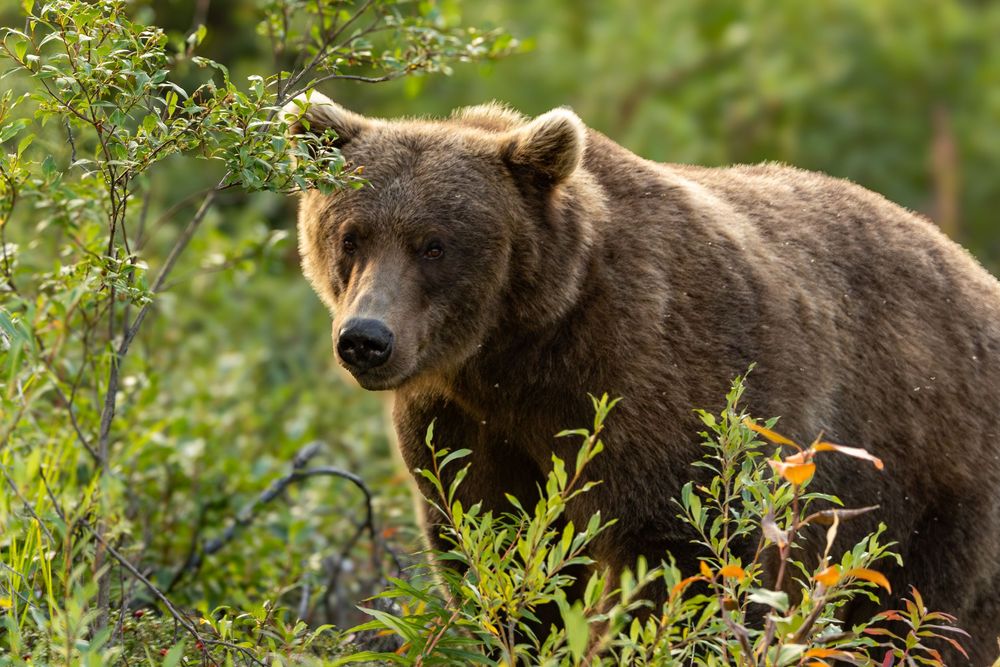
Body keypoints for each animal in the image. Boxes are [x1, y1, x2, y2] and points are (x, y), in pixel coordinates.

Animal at [283, 91, 1000, 662]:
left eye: (434, 244)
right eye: (351, 234)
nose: (366, 339)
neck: (519, 348)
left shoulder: (658, 381)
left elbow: (681, 560)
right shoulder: (460, 419)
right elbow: (494, 542)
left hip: (933, 474)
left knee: (926, 612)